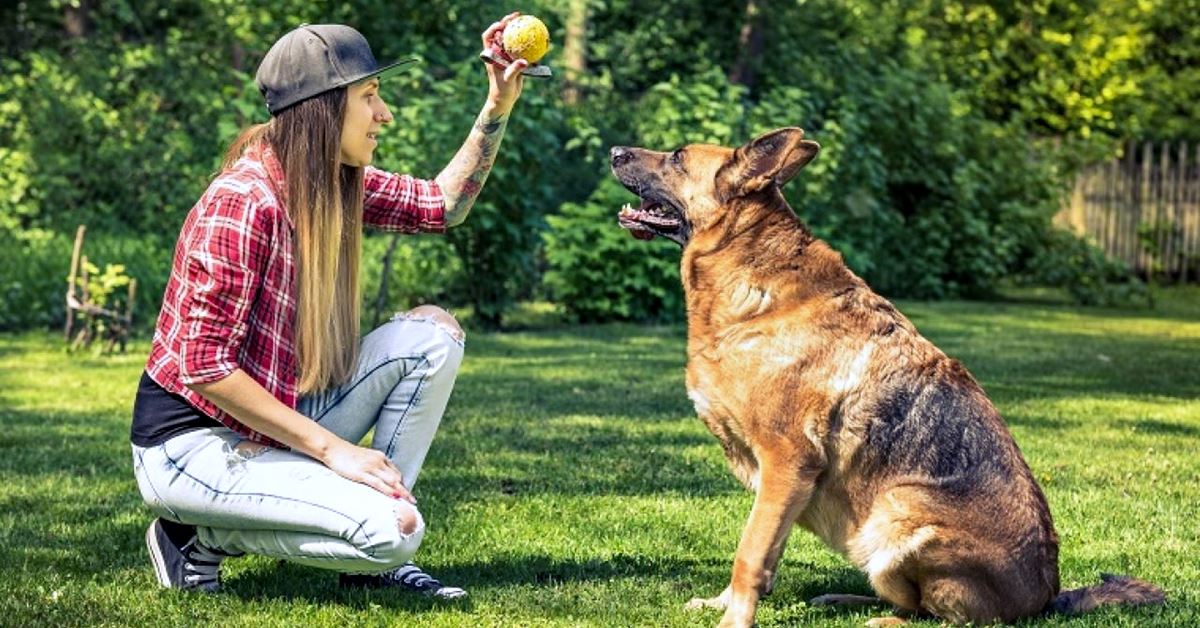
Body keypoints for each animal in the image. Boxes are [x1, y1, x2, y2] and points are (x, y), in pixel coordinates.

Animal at [609, 130, 1161, 624]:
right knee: (910, 603)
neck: (750, 271)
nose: (614, 150)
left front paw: (734, 619)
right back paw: (847, 601)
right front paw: (723, 604)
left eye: (677, 156)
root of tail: (1047, 596)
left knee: (949, 618)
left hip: (897, 512)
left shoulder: (788, 463)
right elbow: (761, 554)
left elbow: (751, 554)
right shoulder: (780, 483)